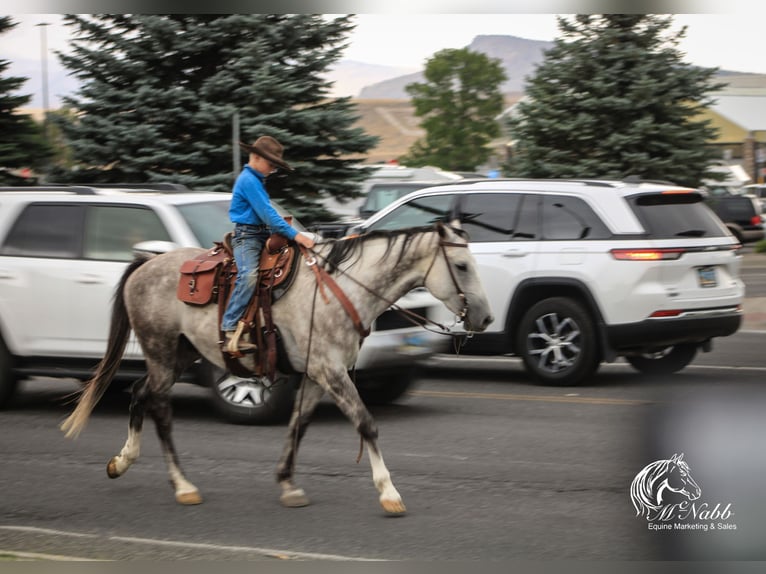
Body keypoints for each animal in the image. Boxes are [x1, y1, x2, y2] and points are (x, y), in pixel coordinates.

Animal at [60, 223, 492, 516]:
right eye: (461, 265)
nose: (486, 318)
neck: (344, 289)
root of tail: (146, 263)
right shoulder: (331, 371)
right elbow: (366, 423)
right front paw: (389, 493)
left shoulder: (319, 374)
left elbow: (298, 424)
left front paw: (287, 484)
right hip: (161, 351)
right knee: (160, 409)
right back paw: (183, 485)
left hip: (180, 354)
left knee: (140, 394)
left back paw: (121, 462)